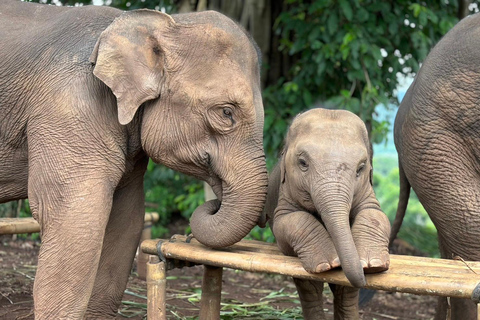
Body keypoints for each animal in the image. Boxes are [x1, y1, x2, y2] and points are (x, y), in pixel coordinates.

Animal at [262, 109, 390, 318]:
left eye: (361, 168)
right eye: (302, 162)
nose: (364, 279)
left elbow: (375, 214)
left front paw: (373, 264)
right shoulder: (285, 192)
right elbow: (288, 220)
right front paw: (329, 264)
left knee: (345, 290)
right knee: (309, 286)